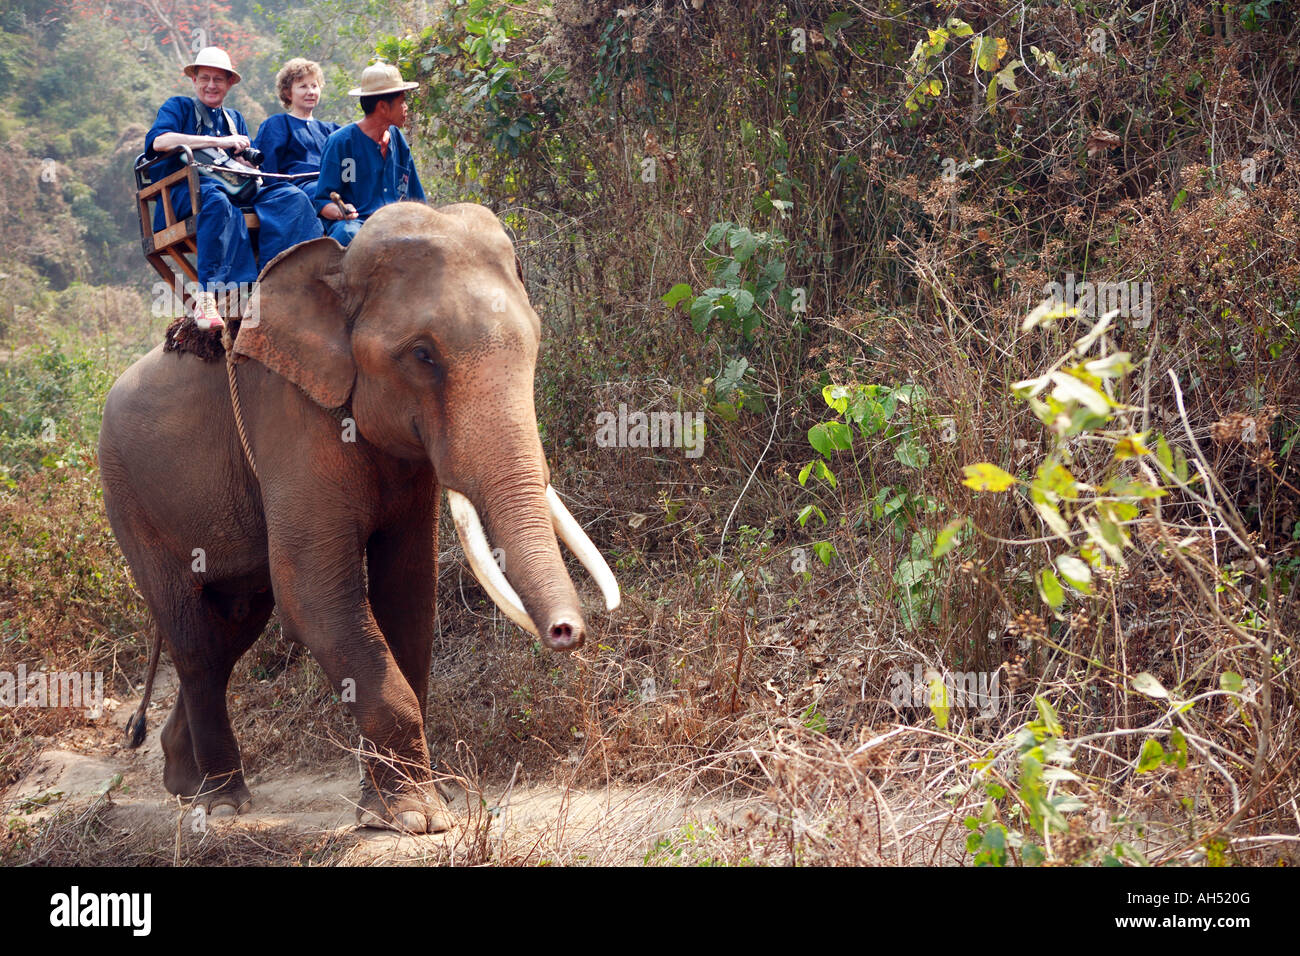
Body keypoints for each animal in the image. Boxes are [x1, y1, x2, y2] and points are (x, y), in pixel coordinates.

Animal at [97, 202, 620, 833]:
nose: (569, 631)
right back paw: (221, 803)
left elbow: (408, 593)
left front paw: (403, 806)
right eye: (422, 355)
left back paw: (182, 782)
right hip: (130, 500)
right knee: (195, 639)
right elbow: (314, 595)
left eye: (536, 341)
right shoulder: (291, 415)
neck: (338, 268)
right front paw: (417, 819)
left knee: (232, 626)